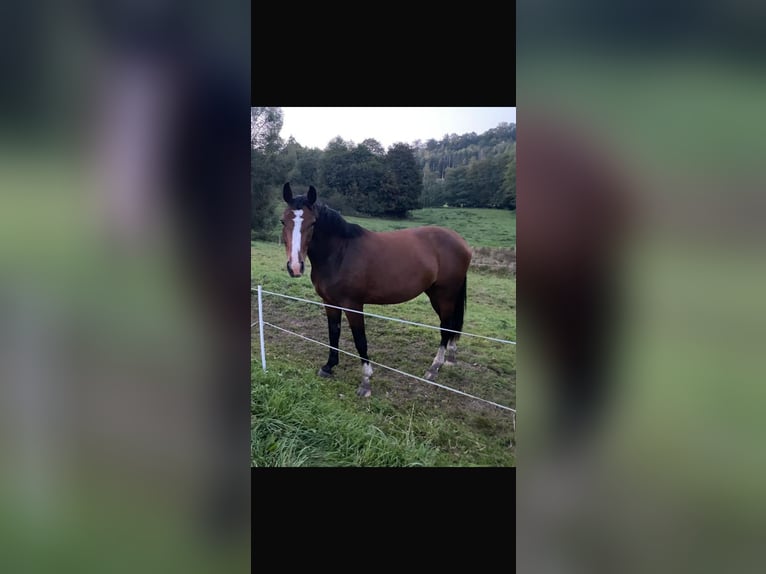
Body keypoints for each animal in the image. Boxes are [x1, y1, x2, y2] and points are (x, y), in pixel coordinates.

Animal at [282, 182, 474, 398]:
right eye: (283, 221)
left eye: (313, 223)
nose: (295, 267)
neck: (339, 253)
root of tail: (461, 242)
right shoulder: (329, 302)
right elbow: (333, 333)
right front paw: (329, 367)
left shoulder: (353, 305)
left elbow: (360, 340)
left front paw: (365, 382)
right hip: (436, 294)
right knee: (450, 326)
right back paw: (450, 358)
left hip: (445, 294)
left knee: (445, 326)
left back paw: (434, 368)